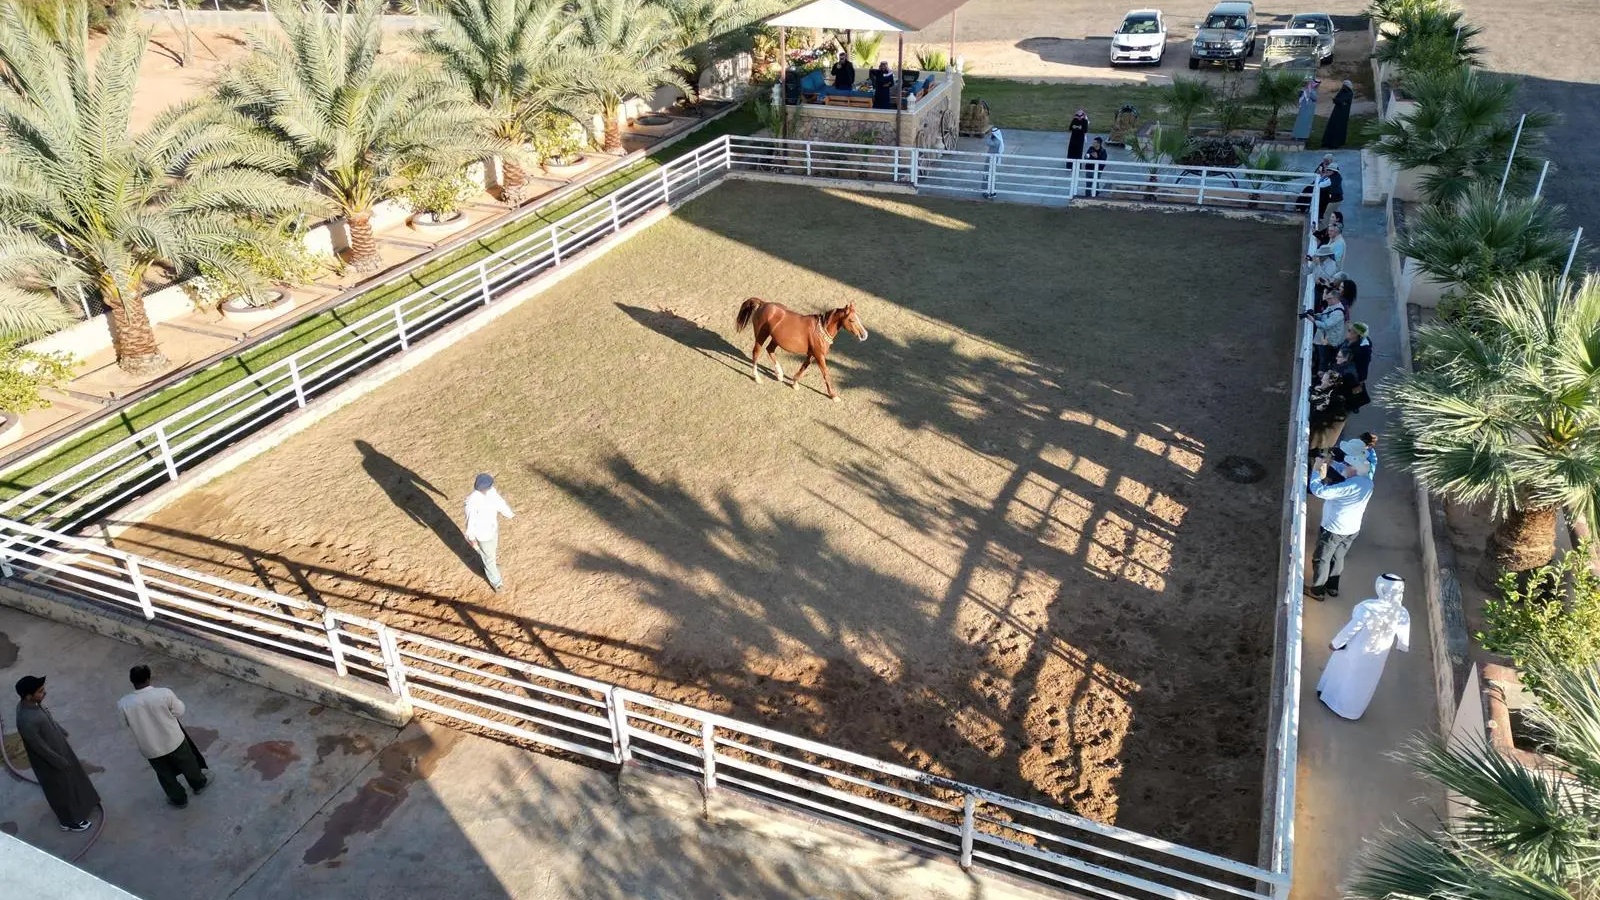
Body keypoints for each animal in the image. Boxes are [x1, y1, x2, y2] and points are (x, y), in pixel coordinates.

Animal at [734, 298, 868, 401]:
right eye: (852, 320)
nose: (864, 335)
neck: (820, 329)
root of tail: (763, 303)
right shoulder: (819, 355)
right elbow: (825, 373)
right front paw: (833, 395)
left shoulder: (812, 355)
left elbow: (803, 368)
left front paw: (794, 383)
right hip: (761, 336)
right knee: (756, 353)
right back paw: (757, 378)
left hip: (775, 339)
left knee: (770, 350)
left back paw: (779, 375)